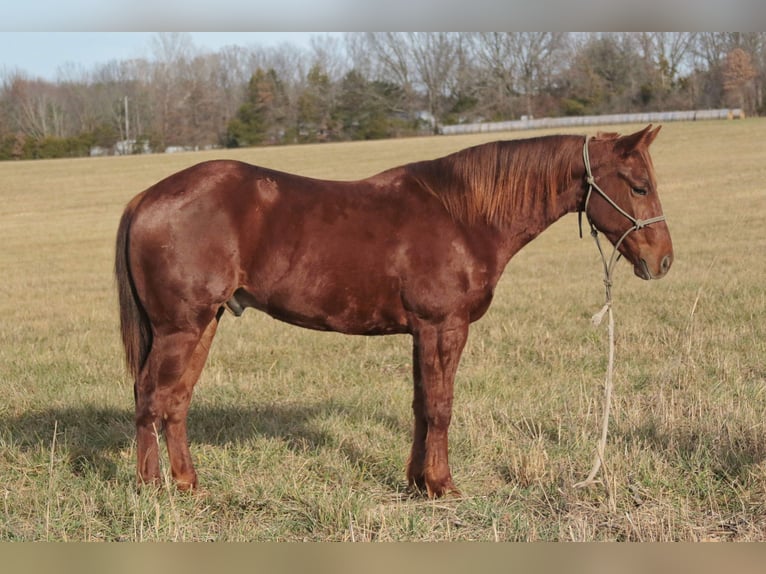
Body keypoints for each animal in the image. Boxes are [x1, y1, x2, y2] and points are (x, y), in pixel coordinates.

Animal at [115, 125, 673, 498]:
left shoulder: (421, 333)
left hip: (203, 324)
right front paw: (443, 485)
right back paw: (151, 487)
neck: (462, 215)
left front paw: (417, 483)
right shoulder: (443, 328)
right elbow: (441, 406)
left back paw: (187, 482)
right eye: (638, 185)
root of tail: (145, 198)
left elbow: (421, 404)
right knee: (150, 396)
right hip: (179, 329)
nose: (662, 260)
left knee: (176, 400)